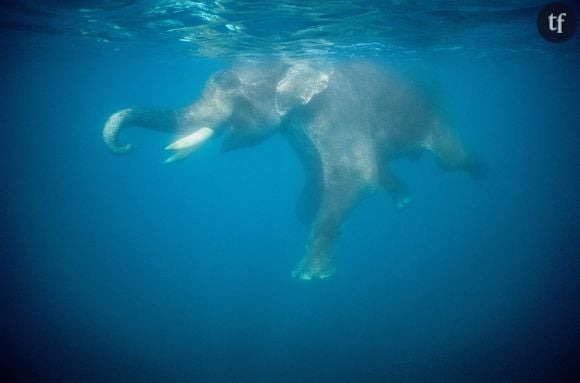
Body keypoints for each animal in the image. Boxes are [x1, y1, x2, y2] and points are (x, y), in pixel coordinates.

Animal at [103, 58, 480, 280]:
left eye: (231, 89)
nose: (128, 146)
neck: (291, 65)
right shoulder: (298, 130)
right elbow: (319, 180)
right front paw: (333, 230)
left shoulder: (338, 113)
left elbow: (356, 178)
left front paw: (309, 276)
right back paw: (404, 200)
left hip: (440, 122)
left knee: (451, 160)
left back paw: (480, 171)